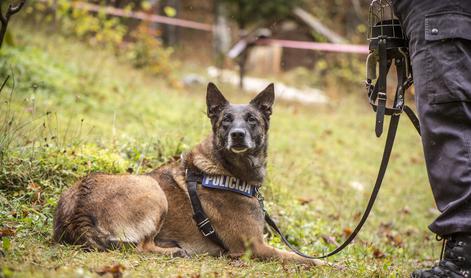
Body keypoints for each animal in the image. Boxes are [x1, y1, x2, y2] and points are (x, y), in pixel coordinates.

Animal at [51, 83, 324, 266]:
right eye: (226, 120)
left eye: (251, 119)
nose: (237, 135)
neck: (226, 169)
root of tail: (78, 205)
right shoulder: (254, 247)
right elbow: (300, 257)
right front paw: (329, 263)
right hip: (152, 190)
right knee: (140, 247)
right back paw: (173, 251)